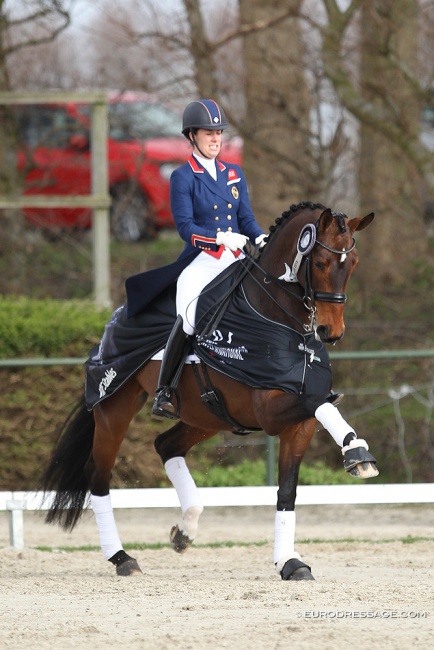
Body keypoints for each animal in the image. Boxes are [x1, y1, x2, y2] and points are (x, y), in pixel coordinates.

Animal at [40, 200, 376, 580]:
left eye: (353, 263)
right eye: (319, 263)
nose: (330, 331)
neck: (278, 321)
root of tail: (116, 316)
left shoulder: (297, 424)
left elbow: (287, 491)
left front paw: (289, 562)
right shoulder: (271, 411)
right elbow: (322, 402)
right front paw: (357, 451)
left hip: (207, 417)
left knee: (166, 445)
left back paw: (185, 530)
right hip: (115, 406)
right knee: (98, 475)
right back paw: (122, 557)